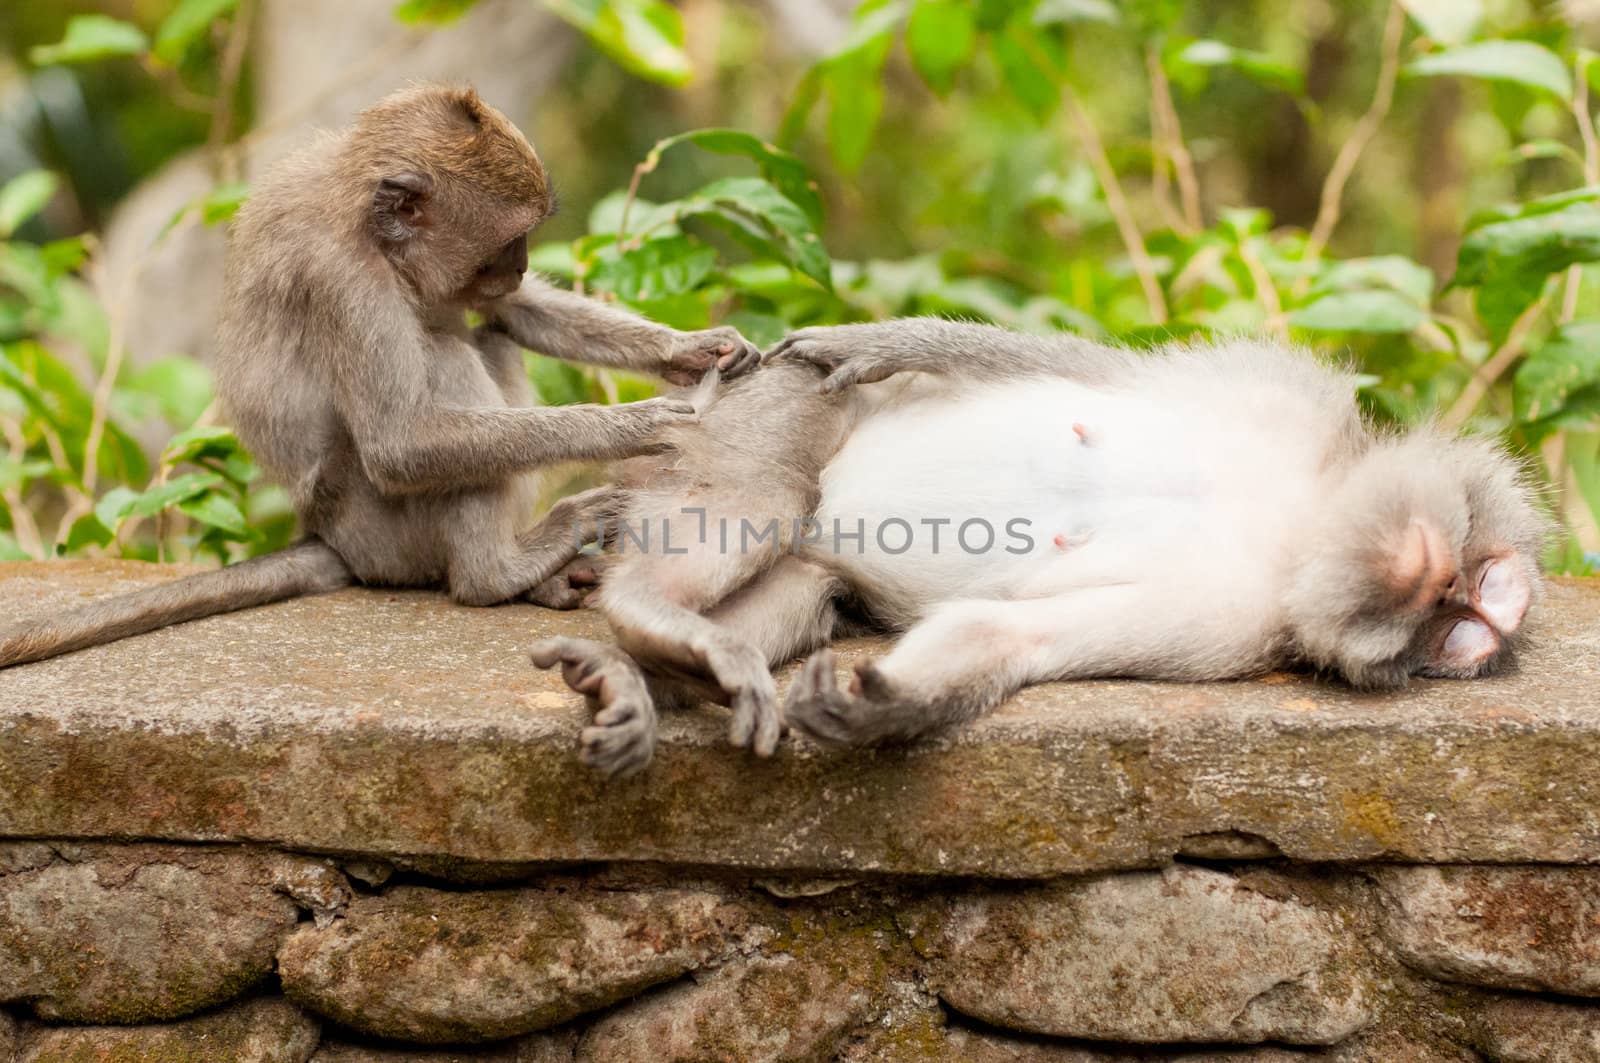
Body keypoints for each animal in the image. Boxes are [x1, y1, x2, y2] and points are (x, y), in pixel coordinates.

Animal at [0, 80, 755, 665]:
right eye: (509, 242)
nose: (514, 267)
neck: (366, 220)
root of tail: (332, 540)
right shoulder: (343, 279)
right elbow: (401, 444)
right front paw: (637, 424)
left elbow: (518, 313)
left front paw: (695, 350)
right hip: (385, 532)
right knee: (447, 366)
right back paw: (494, 572)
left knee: (488, 338)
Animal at [537, 320, 1548, 778]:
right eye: (1478, 587)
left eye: (1456, 637)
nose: (1445, 592)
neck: (1302, 524)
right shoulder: (1279, 391)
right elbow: (1081, 367)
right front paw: (882, 338)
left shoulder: (1235, 629)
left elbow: (1011, 634)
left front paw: (885, 708)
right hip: (765, 414)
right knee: (768, 491)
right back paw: (645, 612)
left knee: (806, 586)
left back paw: (649, 660)